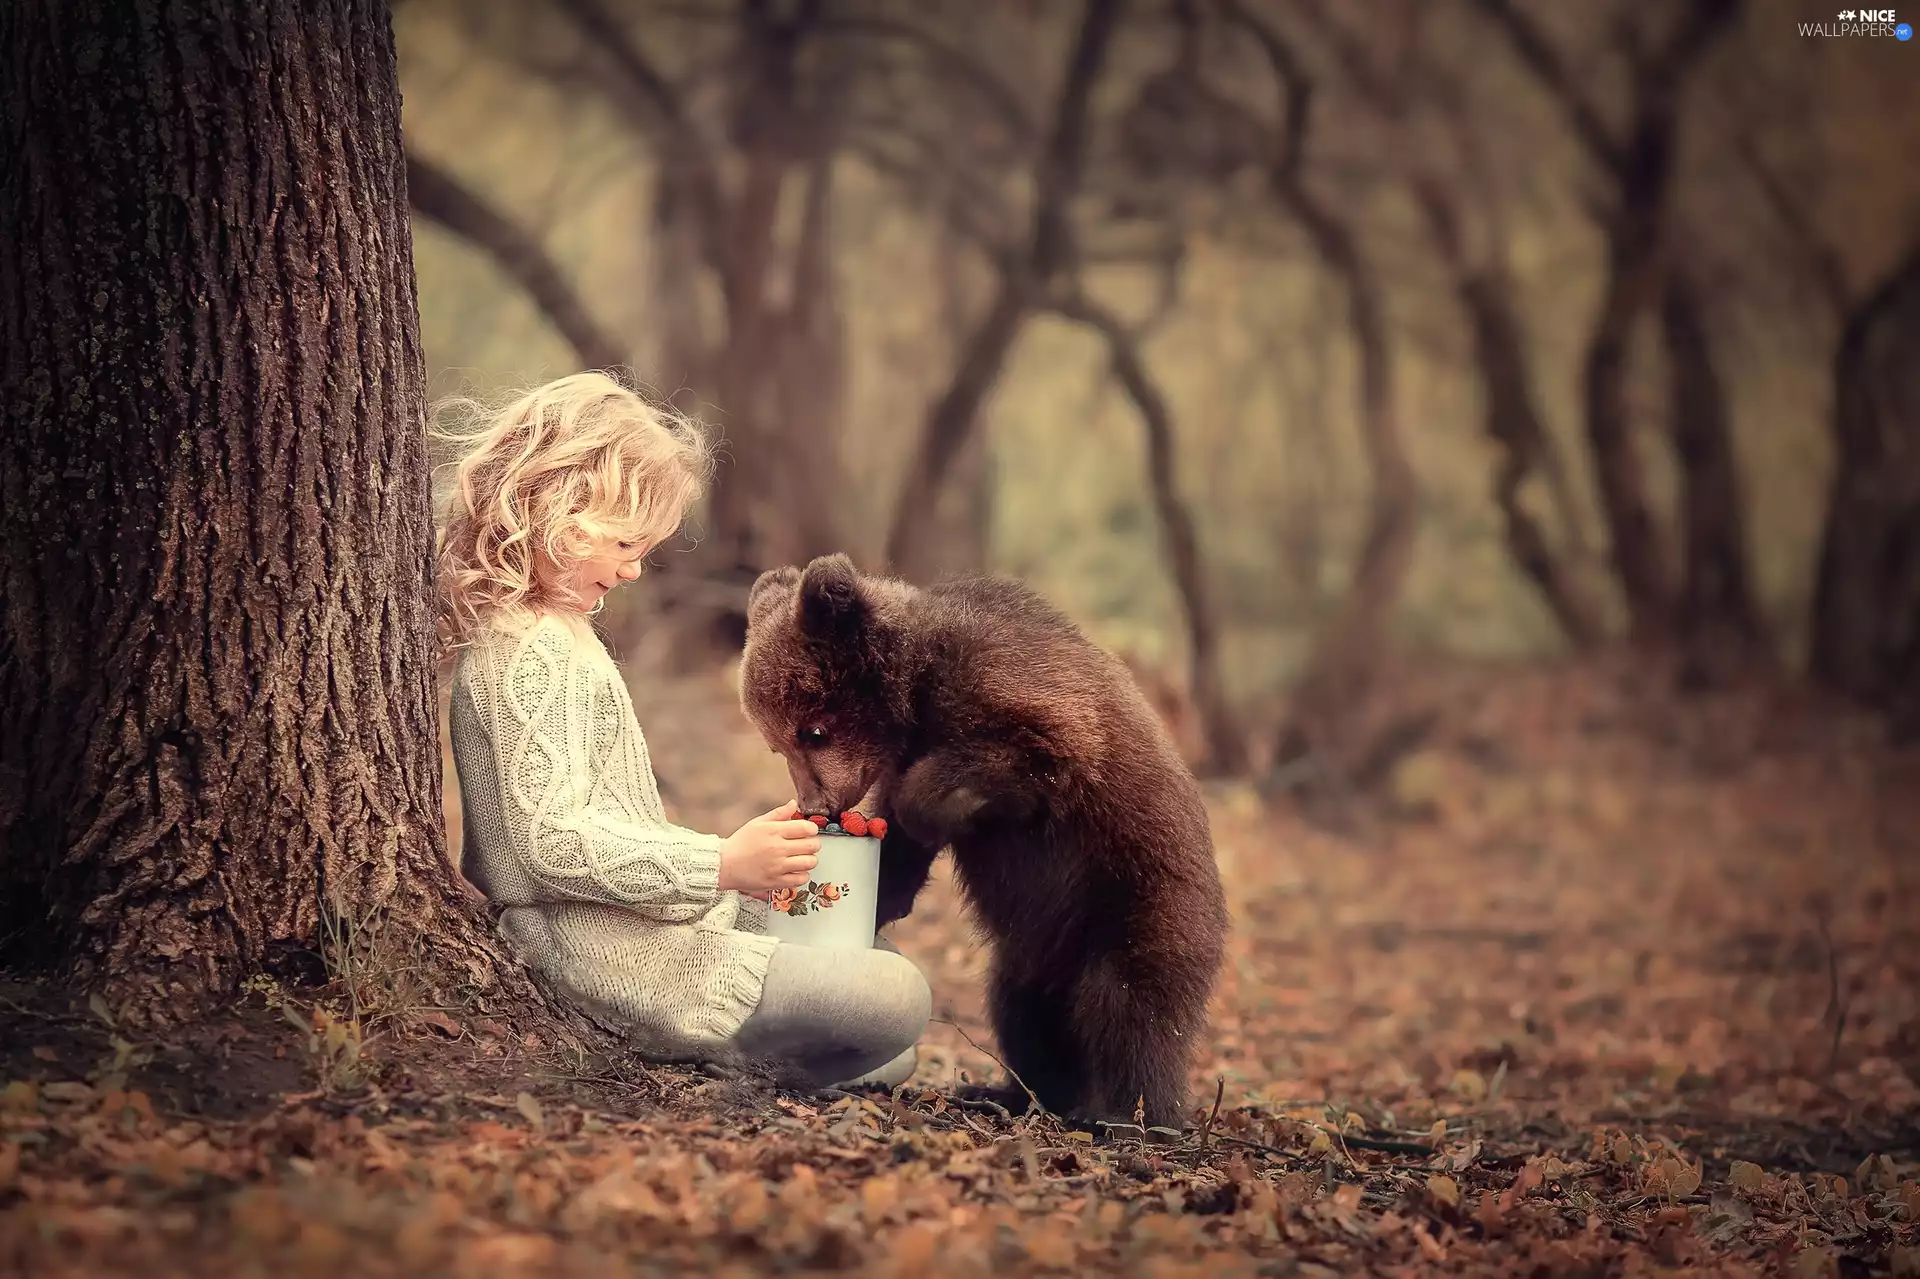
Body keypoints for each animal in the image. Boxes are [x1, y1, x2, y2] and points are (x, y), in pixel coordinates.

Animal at [738, 553, 1228, 1130]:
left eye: (813, 731)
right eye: (778, 744)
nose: (819, 808)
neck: (914, 694)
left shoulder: (1023, 706)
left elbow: (1011, 760)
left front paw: (923, 813)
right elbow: (898, 851)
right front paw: (881, 899)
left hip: (1138, 898)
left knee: (1131, 1005)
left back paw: (1126, 1114)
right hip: (1035, 951)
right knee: (1024, 1011)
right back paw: (1015, 1092)